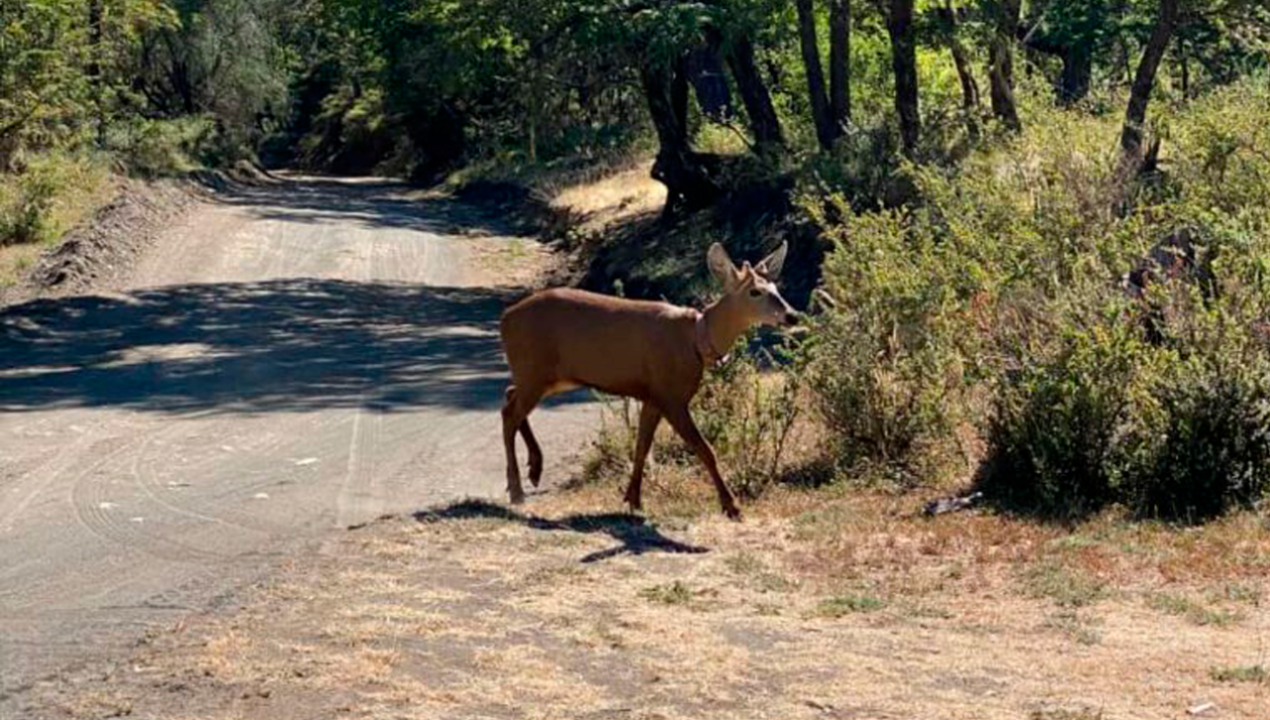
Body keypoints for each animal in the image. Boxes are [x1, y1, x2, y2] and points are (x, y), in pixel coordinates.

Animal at [495, 242, 792, 518]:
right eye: (755, 291)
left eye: (776, 287)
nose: (791, 315)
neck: (696, 339)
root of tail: (505, 318)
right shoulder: (671, 396)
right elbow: (705, 449)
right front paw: (731, 506)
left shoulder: (653, 397)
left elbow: (641, 447)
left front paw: (633, 499)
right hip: (534, 369)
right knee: (510, 413)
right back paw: (517, 490)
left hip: (548, 375)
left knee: (510, 395)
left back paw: (534, 470)